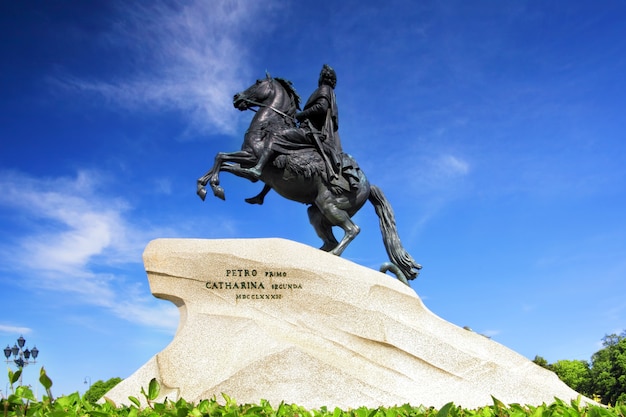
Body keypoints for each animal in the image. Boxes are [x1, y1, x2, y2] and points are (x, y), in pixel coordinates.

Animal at [195, 74, 420, 282]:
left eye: (257, 83)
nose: (236, 98)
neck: (268, 127)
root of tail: (368, 185)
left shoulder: (252, 160)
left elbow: (223, 158)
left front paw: (214, 187)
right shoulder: (246, 162)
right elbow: (221, 160)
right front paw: (203, 185)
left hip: (330, 205)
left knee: (352, 230)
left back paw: (333, 254)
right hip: (317, 211)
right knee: (331, 238)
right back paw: (317, 255)